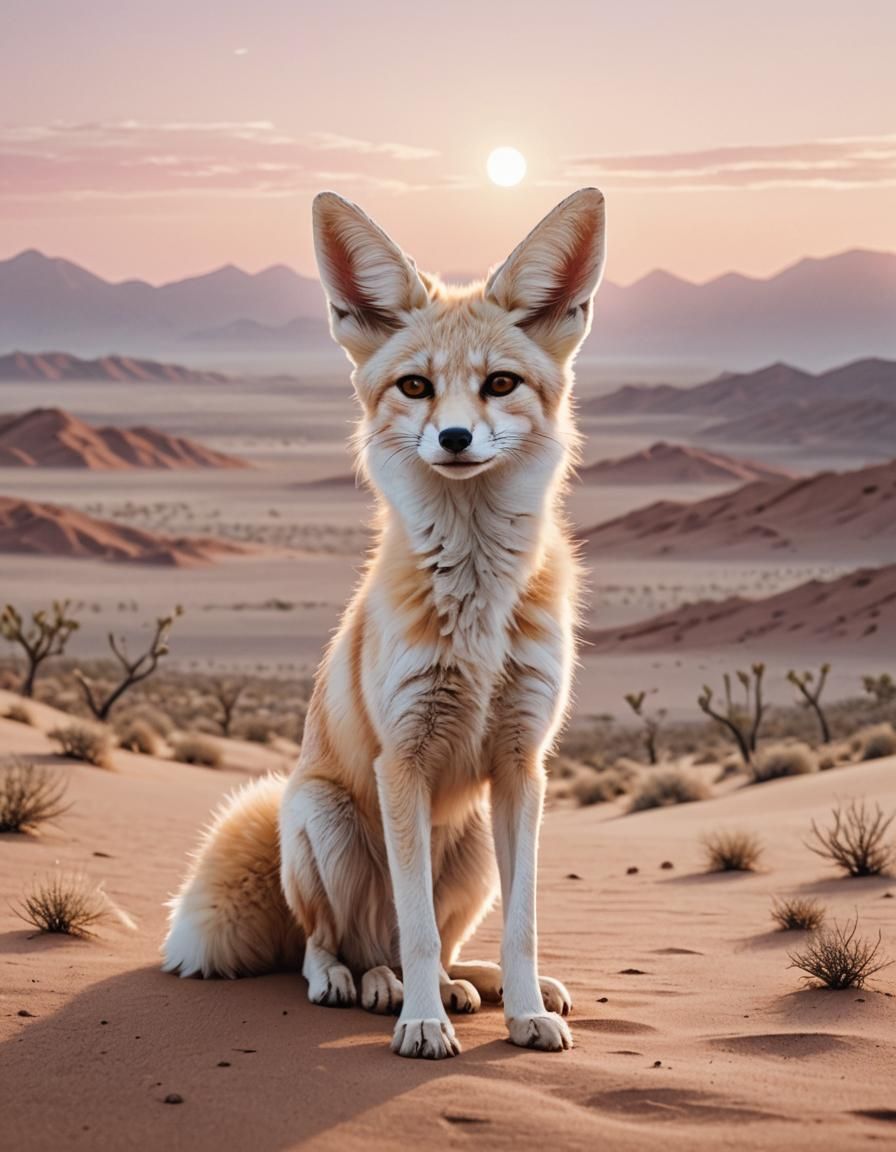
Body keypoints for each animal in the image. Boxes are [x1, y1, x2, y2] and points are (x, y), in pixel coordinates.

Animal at [162, 186, 607, 1059]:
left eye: (500, 383)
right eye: (414, 388)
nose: (456, 437)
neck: (475, 602)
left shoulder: (522, 766)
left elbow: (522, 926)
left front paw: (524, 1011)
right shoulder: (401, 762)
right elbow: (414, 927)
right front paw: (424, 1026)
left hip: (470, 848)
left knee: (443, 944)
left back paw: (476, 987)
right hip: (326, 820)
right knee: (345, 942)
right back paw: (368, 986)